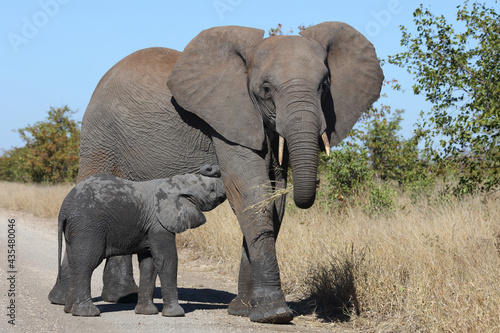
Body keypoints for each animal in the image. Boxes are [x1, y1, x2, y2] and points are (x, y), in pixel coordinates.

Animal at [55, 165, 227, 316]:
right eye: (211, 190)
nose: (211, 168)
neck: (176, 183)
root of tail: (64, 208)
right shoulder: (158, 223)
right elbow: (166, 259)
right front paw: (176, 314)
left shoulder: (149, 226)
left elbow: (149, 263)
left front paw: (147, 312)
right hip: (88, 226)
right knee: (86, 263)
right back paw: (87, 313)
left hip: (76, 229)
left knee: (74, 262)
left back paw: (69, 310)